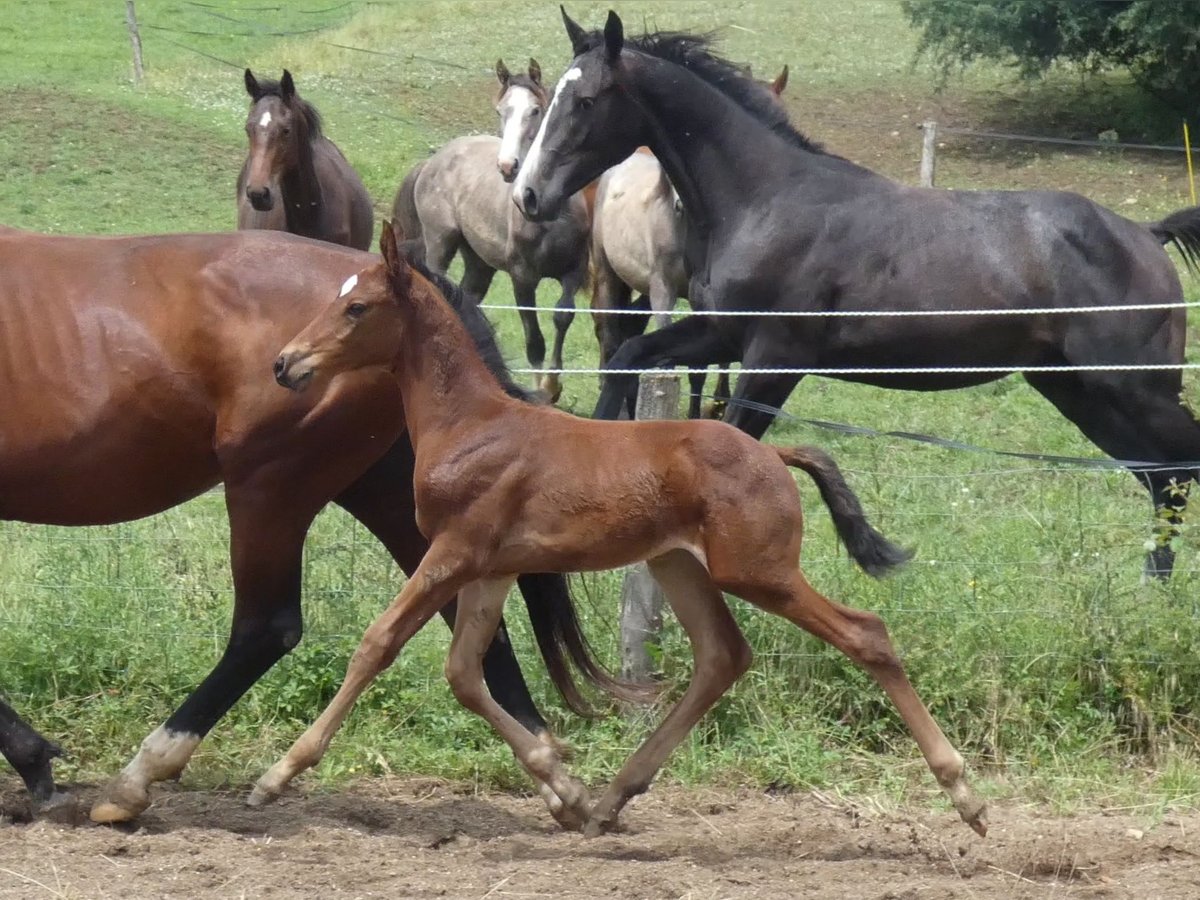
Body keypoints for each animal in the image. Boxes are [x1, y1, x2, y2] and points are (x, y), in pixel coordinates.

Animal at [0, 225, 619, 825]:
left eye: (355, 309)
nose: (286, 363)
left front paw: (35, 764)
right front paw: (35, 763)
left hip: (272, 488)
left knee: (266, 628)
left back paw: (141, 777)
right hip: (407, 500)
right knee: (472, 629)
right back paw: (557, 780)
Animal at [267, 224, 988, 840]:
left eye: (357, 308)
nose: (285, 364)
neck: (472, 424)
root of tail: (773, 455)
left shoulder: (454, 552)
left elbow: (378, 644)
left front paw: (278, 774)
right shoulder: (493, 568)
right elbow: (464, 674)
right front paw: (564, 788)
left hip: (758, 572)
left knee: (866, 635)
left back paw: (967, 797)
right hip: (680, 566)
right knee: (723, 656)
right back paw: (612, 797)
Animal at [393, 61, 590, 400]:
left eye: (535, 110)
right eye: (501, 111)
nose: (508, 166)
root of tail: (431, 162)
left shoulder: (573, 270)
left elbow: (562, 316)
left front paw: (553, 385)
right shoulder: (522, 278)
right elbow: (534, 341)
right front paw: (540, 391)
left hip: (479, 263)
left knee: (467, 297)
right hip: (440, 244)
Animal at [518, 8, 1200, 578]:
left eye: (585, 100)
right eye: (550, 99)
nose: (527, 194)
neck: (763, 200)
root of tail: (1146, 234)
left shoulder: (776, 356)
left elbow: (738, 445)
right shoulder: (720, 332)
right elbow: (627, 359)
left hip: (1130, 388)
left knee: (1178, 467)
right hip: (1077, 390)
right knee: (1163, 478)